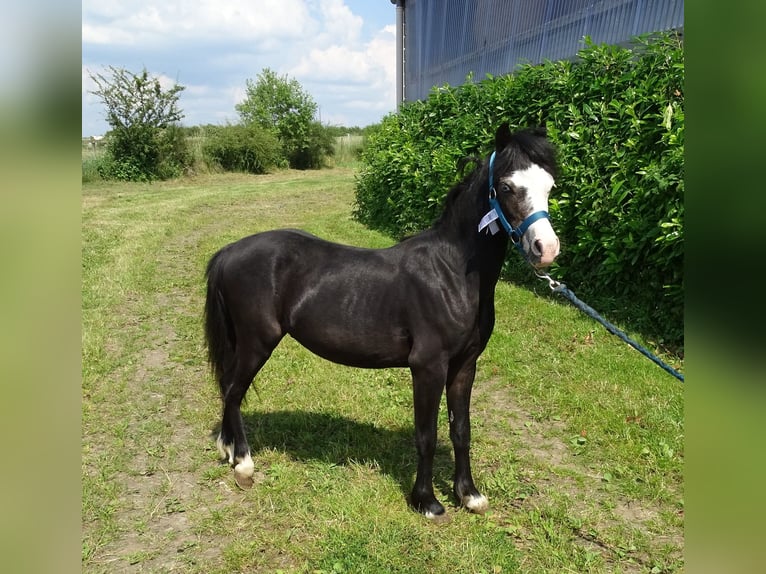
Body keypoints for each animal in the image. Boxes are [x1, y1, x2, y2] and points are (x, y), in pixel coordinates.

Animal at [204, 124, 560, 520]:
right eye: (508, 187)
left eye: (549, 186)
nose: (546, 250)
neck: (451, 272)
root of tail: (229, 252)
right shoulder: (428, 367)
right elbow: (426, 434)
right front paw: (427, 501)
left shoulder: (465, 366)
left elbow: (461, 430)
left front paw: (469, 495)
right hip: (257, 342)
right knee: (233, 392)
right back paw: (244, 465)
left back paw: (229, 451)